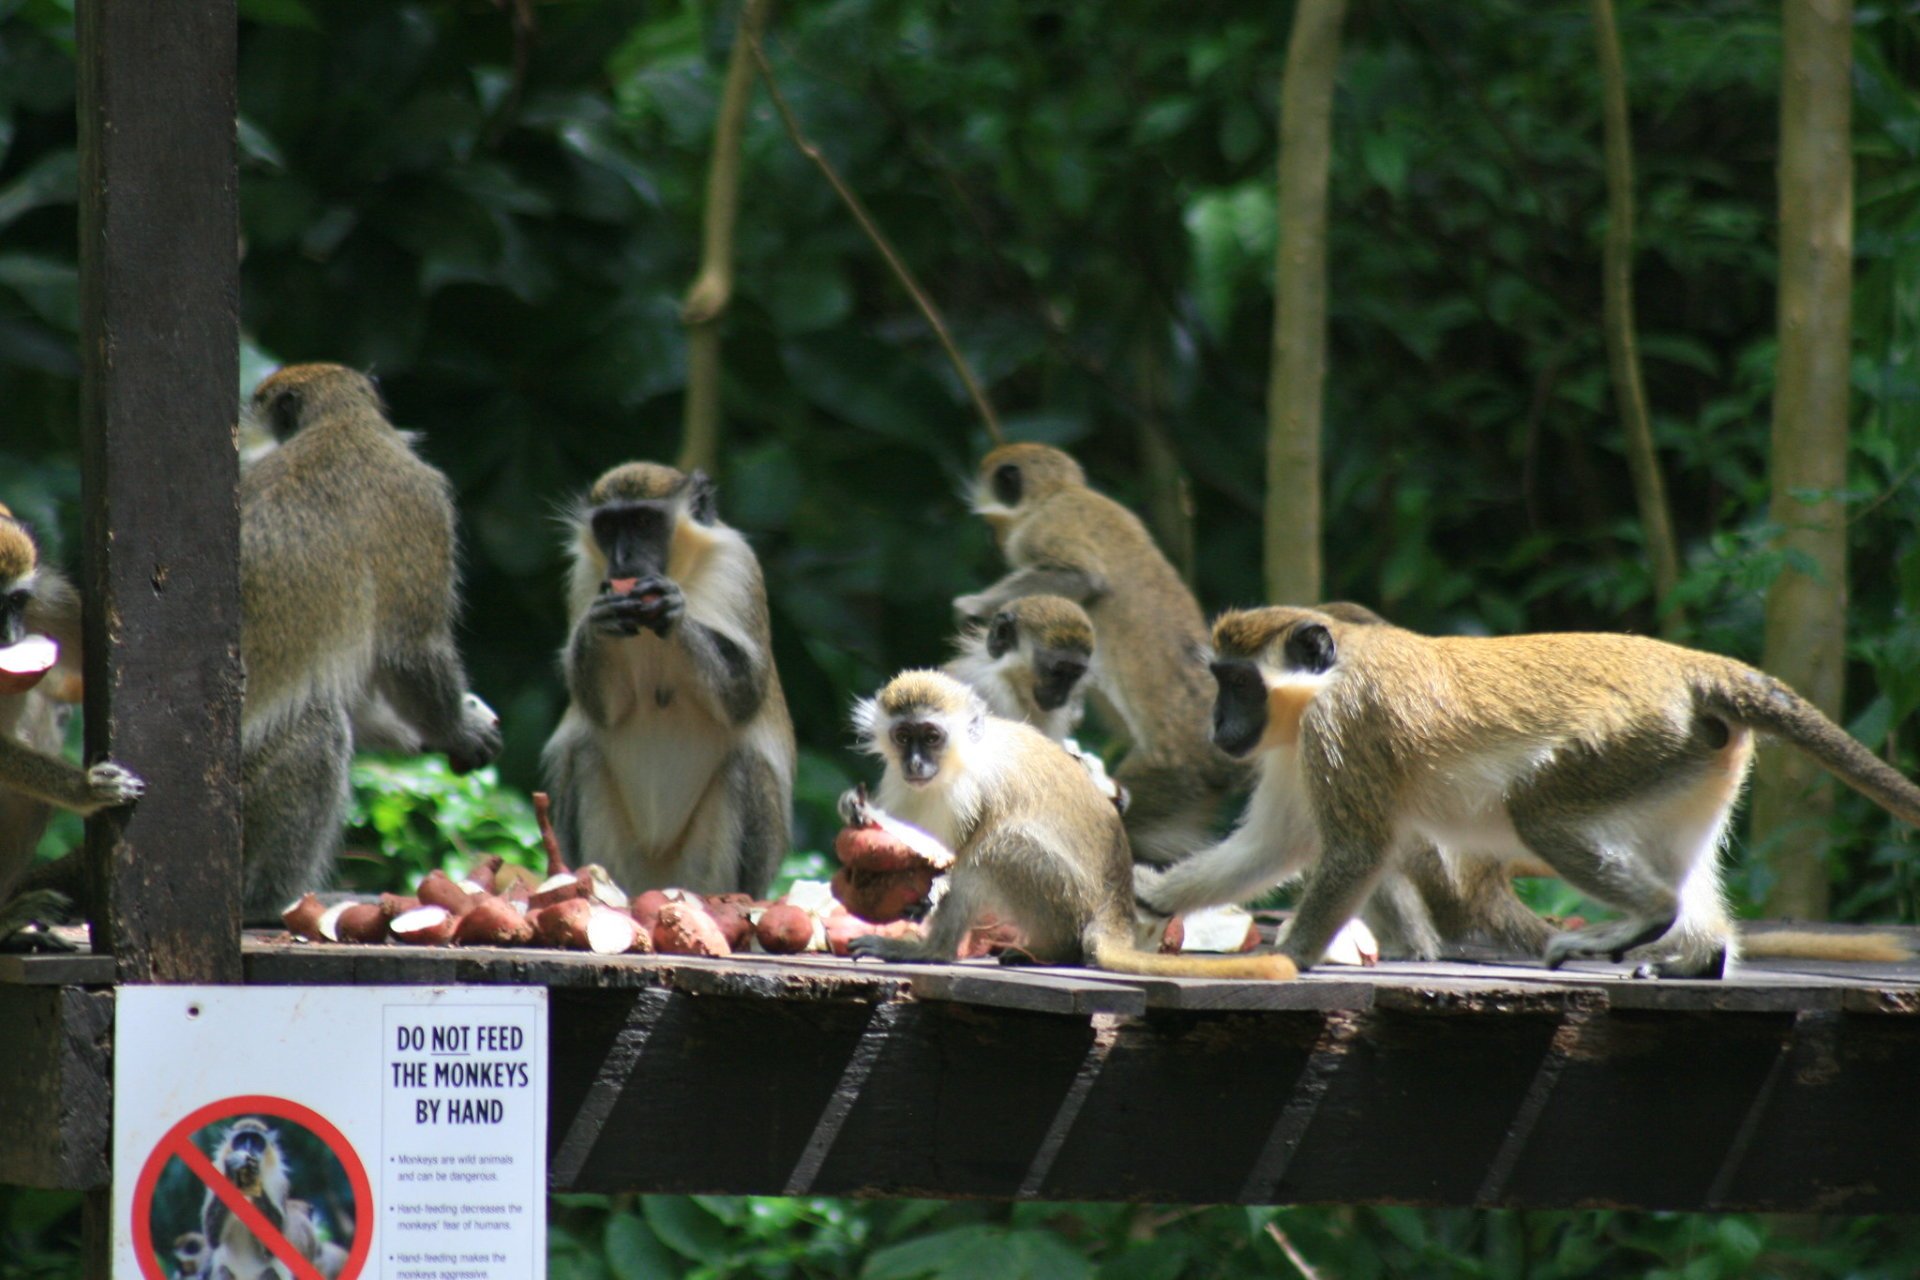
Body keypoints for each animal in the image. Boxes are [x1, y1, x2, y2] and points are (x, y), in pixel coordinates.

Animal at [840, 671, 1290, 982]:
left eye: (932, 737)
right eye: (904, 736)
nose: (916, 764)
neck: (958, 762)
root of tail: (1116, 905)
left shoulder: (967, 791)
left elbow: (955, 855)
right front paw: (857, 812)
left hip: (1068, 897)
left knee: (997, 845)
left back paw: (938, 952)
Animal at [956, 443, 1244, 871]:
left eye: (993, 524)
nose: (991, 538)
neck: (1061, 491)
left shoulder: (1039, 528)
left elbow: (1083, 579)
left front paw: (974, 606)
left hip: (1176, 769)